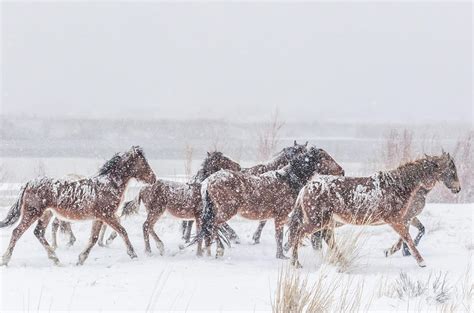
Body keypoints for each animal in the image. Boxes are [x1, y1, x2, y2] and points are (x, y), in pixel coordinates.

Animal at [0, 146, 156, 266]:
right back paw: (5, 260)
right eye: (143, 163)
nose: (153, 178)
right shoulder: (107, 215)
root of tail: (28, 183)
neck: (108, 185)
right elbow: (122, 231)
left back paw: (55, 259)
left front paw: (81, 259)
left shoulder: (99, 217)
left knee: (38, 233)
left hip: (46, 214)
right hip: (32, 213)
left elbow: (94, 238)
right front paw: (133, 254)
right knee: (17, 232)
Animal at [197, 146, 344, 258]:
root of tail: (208, 180)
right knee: (213, 224)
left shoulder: (280, 215)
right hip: (227, 211)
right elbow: (279, 236)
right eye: (326, 158)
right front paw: (281, 254)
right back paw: (221, 248)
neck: (288, 180)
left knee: (211, 225)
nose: (342, 171)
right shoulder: (280, 215)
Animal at [288, 151, 460, 266]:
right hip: (318, 221)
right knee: (298, 234)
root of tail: (306, 188)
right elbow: (408, 239)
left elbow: (406, 238)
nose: (458, 189)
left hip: (326, 221)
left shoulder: (402, 220)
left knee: (325, 239)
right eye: (452, 170)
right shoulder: (396, 220)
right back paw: (296, 263)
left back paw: (341, 260)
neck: (399, 185)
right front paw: (421, 262)